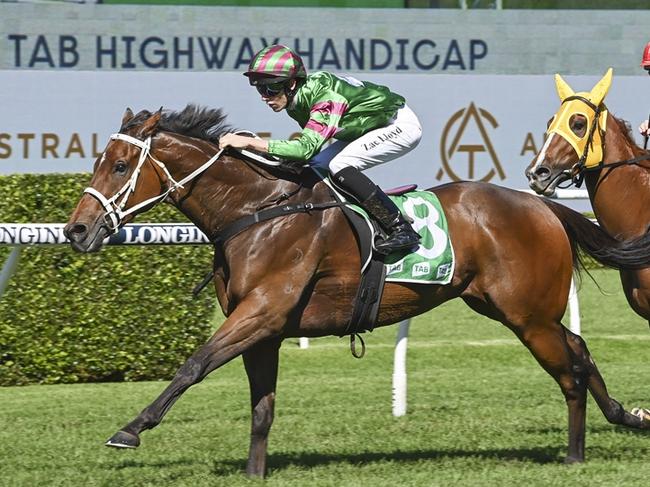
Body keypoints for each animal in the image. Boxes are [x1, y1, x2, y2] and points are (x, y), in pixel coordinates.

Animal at [64, 106, 648, 476]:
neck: (255, 212)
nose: (76, 230)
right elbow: (262, 408)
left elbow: (194, 364)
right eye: (98, 161)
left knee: (569, 371)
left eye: (120, 165)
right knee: (580, 350)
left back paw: (575, 455)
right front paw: (254, 472)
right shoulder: (265, 330)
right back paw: (626, 416)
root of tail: (541, 204)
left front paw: (130, 429)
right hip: (509, 308)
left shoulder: (260, 313)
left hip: (527, 315)